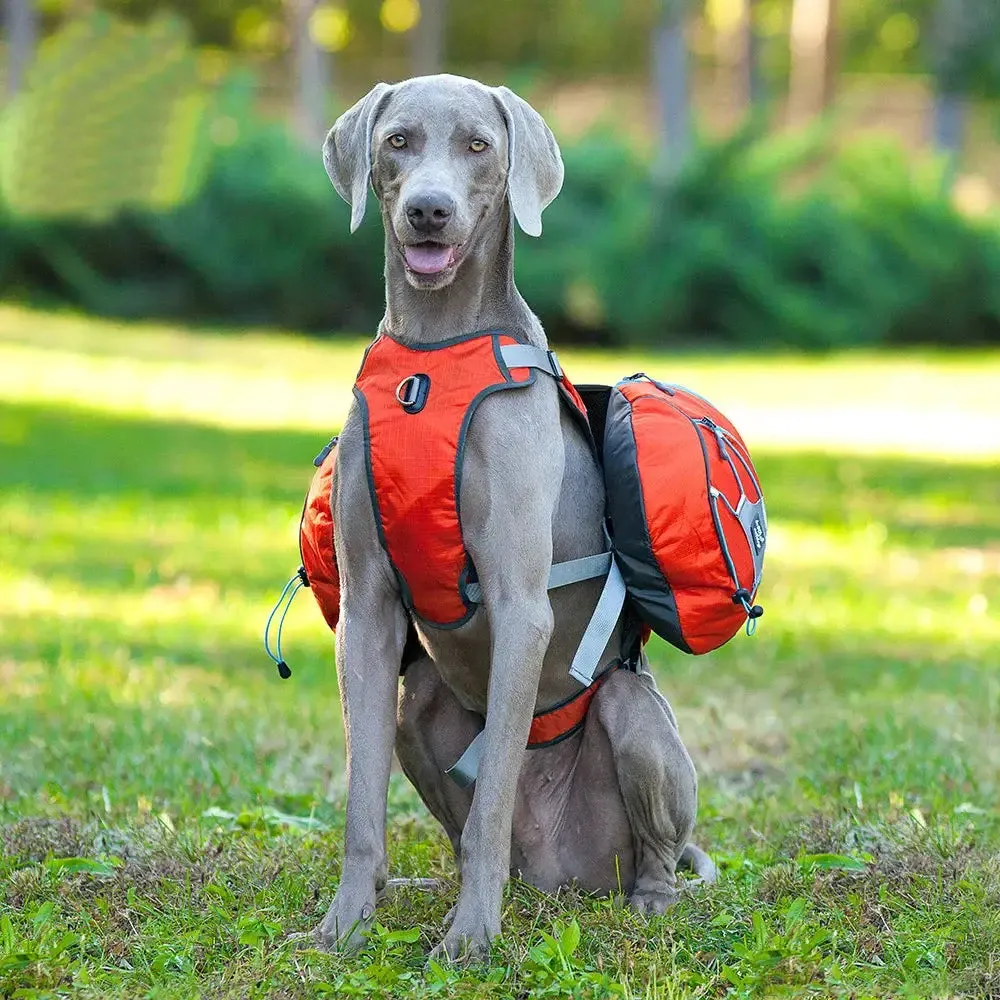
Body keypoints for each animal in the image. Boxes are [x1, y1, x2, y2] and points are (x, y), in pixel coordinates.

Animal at [316, 74, 716, 964]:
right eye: (397, 141)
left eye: (478, 146)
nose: (428, 210)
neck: (433, 357)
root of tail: (559, 876)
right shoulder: (366, 609)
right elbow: (362, 805)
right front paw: (344, 922)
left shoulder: (519, 604)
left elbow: (492, 800)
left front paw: (469, 938)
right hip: (417, 706)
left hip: (633, 717)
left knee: (652, 848)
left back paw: (647, 903)